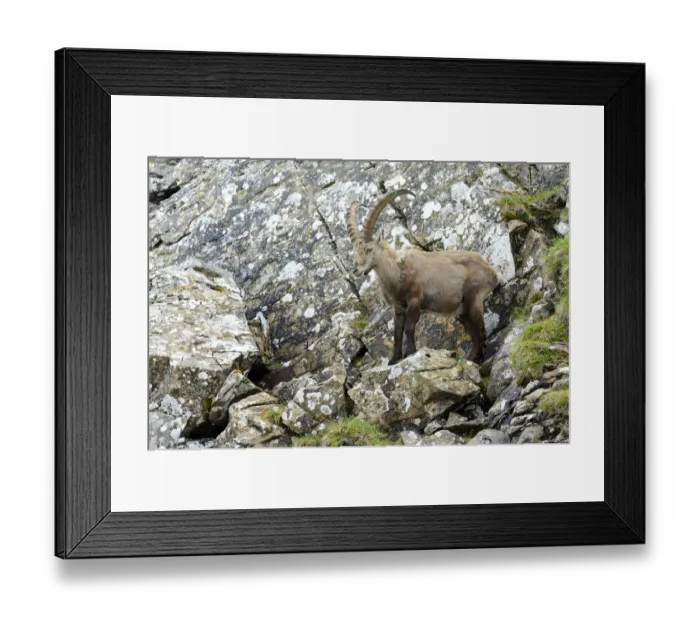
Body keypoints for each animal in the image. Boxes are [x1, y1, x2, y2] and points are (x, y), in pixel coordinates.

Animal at [347, 189, 504, 364]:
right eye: (355, 251)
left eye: (368, 249)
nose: (355, 271)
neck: (397, 273)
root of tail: (491, 270)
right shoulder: (399, 307)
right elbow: (397, 333)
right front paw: (394, 360)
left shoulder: (415, 299)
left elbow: (409, 328)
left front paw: (411, 353)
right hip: (462, 312)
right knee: (475, 336)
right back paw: (471, 360)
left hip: (474, 298)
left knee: (481, 333)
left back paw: (481, 361)